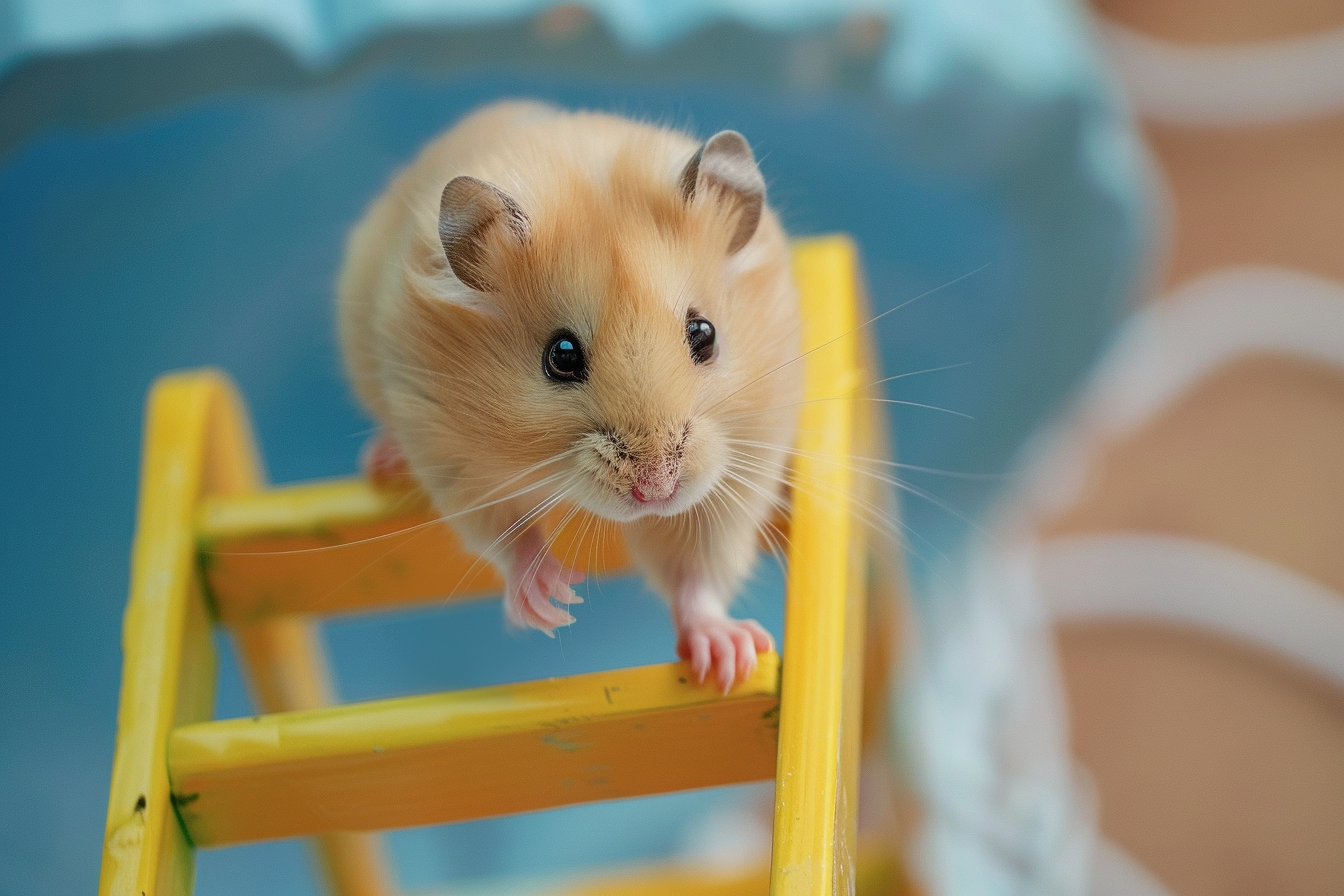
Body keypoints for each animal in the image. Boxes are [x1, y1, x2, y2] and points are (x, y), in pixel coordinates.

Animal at [338, 100, 801, 691]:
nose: (656, 490)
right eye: (560, 356)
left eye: (705, 334)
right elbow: (508, 536)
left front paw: (730, 658)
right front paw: (554, 605)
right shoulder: (454, 461)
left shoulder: (734, 480)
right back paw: (383, 461)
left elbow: (695, 570)